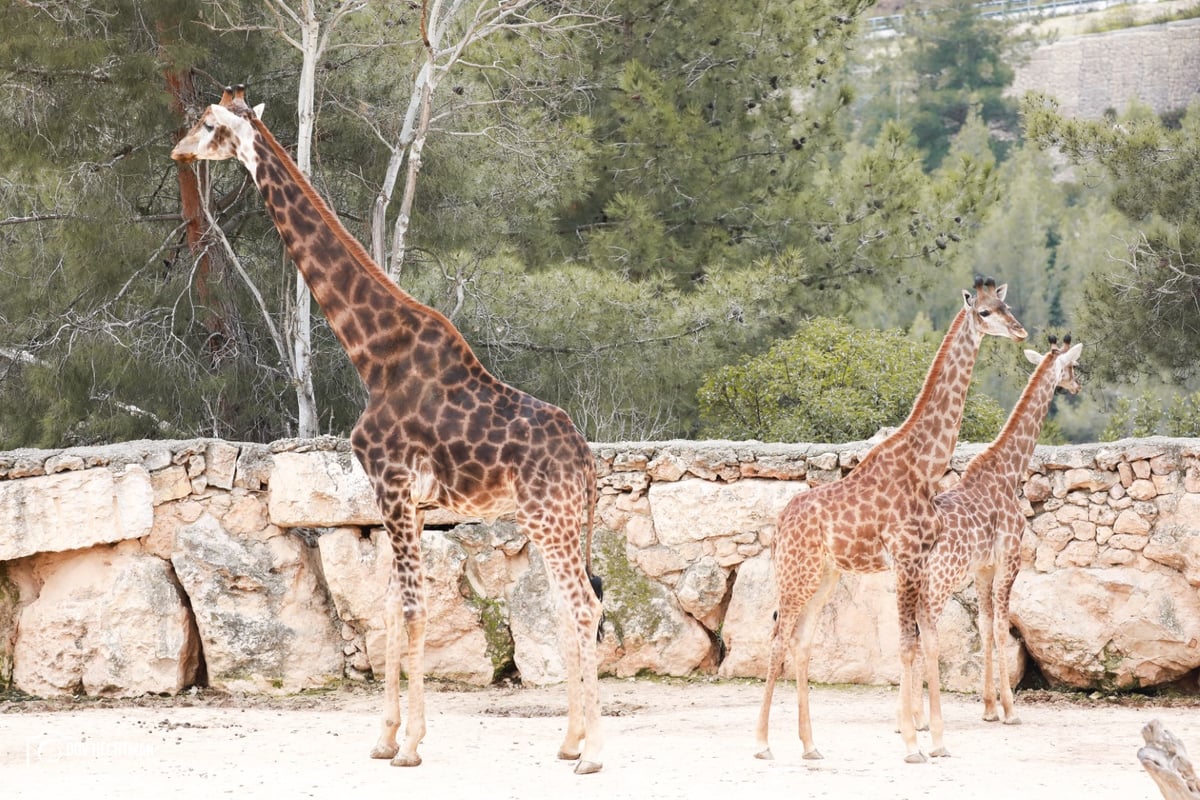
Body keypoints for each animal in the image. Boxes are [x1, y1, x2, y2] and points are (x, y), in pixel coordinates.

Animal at [172, 86, 604, 777]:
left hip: (550, 515)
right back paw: (568, 743)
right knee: (570, 610)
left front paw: (411, 747)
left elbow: (410, 612)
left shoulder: (394, 486)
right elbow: (390, 616)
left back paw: (592, 755)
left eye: (209, 123)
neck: (372, 354)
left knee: (585, 606)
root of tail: (587, 462)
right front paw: (384, 737)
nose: (178, 150)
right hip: (551, 520)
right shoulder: (408, 503)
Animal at [753, 278, 1027, 767]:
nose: (1020, 331)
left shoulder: (917, 562)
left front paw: (933, 740)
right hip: (796, 574)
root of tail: (780, 525)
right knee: (778, 637)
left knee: (802, 642)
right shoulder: (907, 558)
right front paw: (914, 745)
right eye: (985, 312)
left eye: (1005, 304)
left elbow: (919, 642)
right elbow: (906, 644)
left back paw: (810, 746)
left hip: (825, 575)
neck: (925, 467)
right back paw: (763, 743)